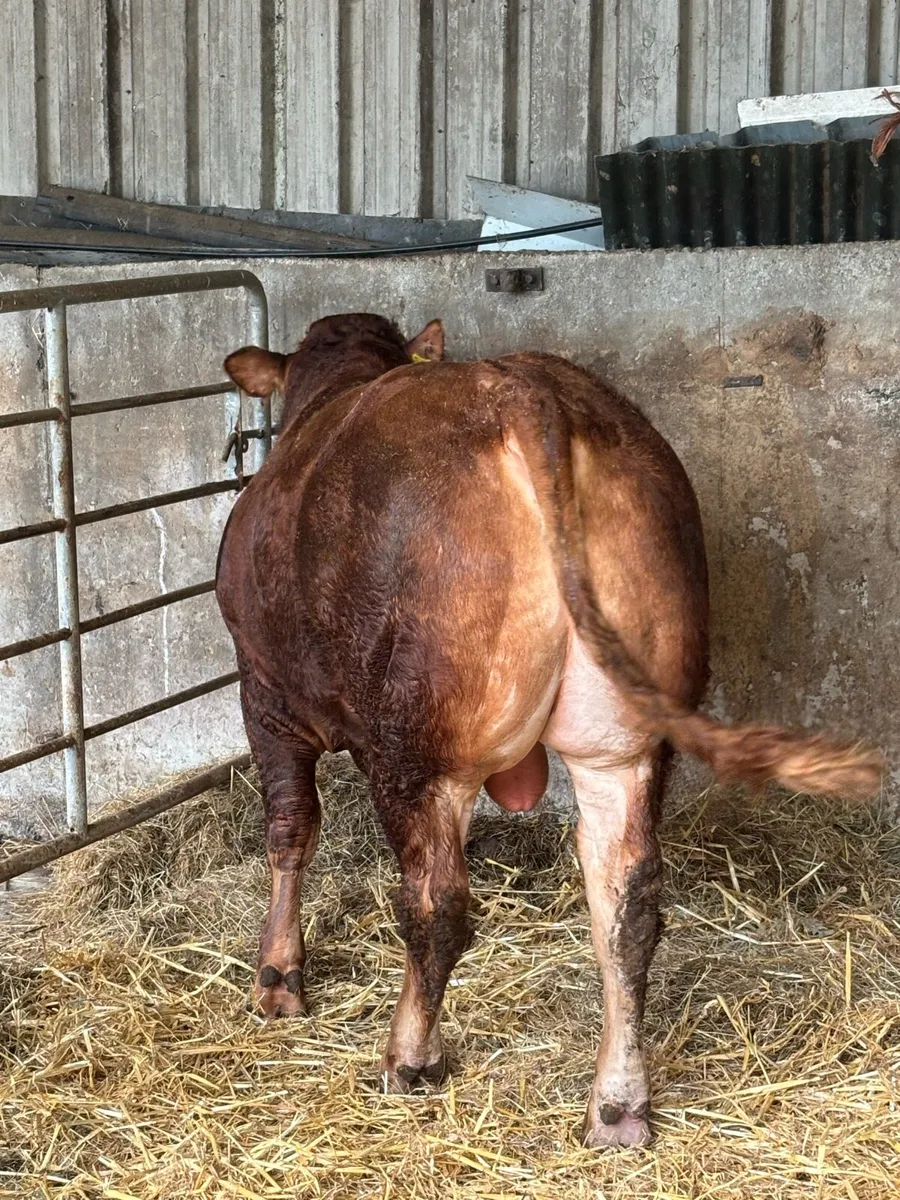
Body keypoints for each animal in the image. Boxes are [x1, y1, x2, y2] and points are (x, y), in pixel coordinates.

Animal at [215, 313, 880, 1149]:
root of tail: (522, 389)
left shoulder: (264, 692)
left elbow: (289, 830)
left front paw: (278, 977)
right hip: (620, 742)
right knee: (626, 907)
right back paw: (619, 1105)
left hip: (418, 747)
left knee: (436, 906)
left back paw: (410, 1057)